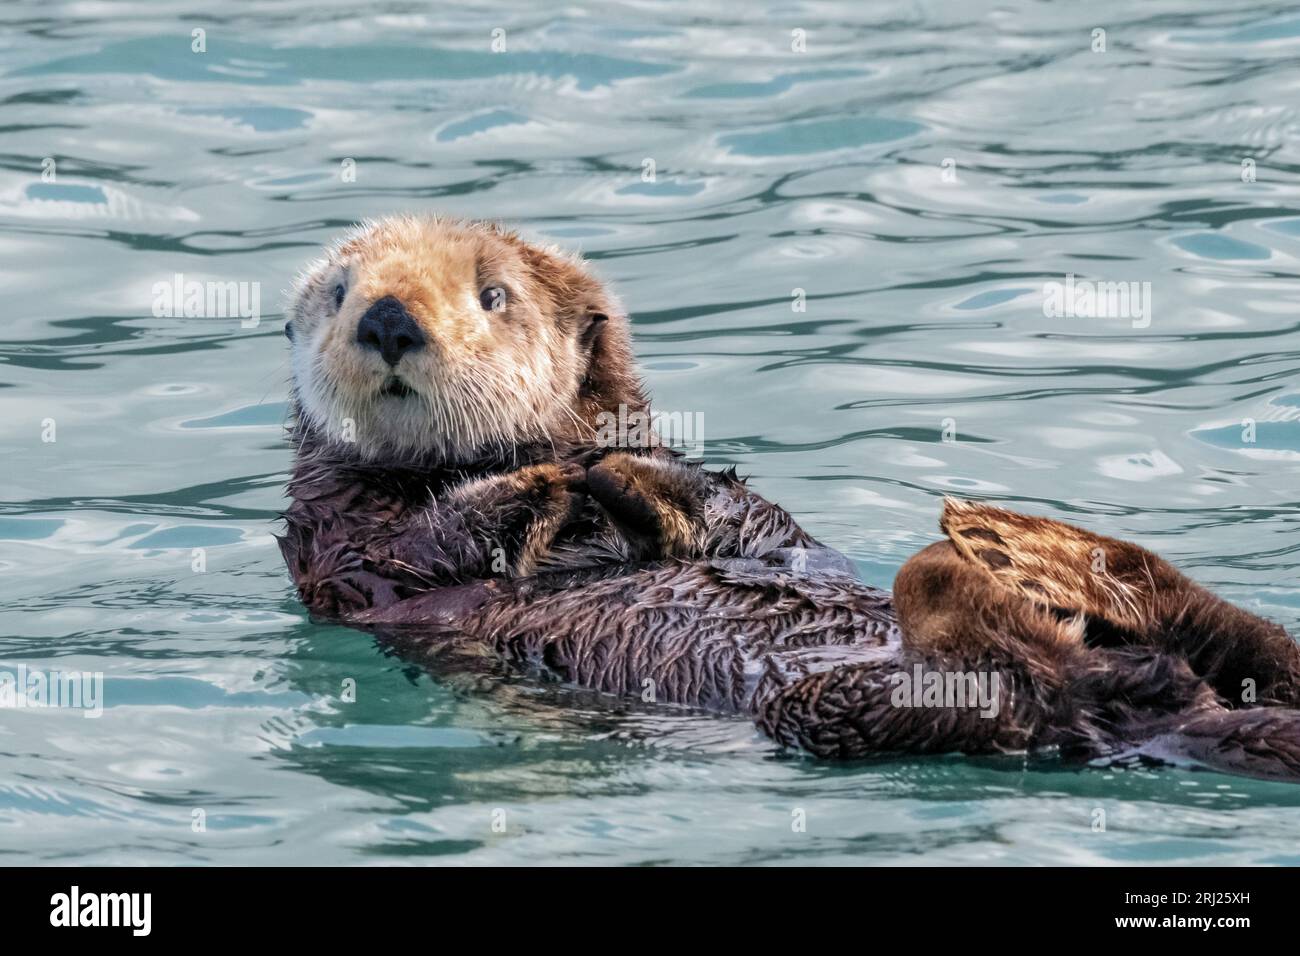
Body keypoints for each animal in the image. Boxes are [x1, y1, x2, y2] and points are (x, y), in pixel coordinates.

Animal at [279, 218, 1300, 785]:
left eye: (492, 296)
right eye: (340, 293)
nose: (388, 318)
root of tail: (1162, 715)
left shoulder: (753, 520)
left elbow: (748, 520)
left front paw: (623, 476)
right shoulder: (338, 548)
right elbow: (411, 547)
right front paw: (548, 485)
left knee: (1249, 648)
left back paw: (1027, 548)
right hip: (838, 710)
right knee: (1023, 681)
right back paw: (965, 567)